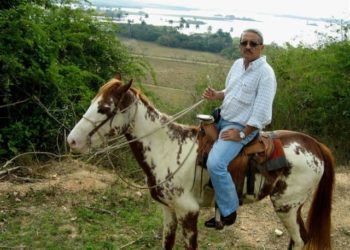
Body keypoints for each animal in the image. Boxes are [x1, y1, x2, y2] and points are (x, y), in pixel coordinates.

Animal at [67, 76, 334, 250]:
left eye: (104, 108)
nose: (72, 141)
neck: (167, 148)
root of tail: (315, 145)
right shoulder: (168, 211)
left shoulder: (188, 213)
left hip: (286, 205)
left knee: (300, 240)